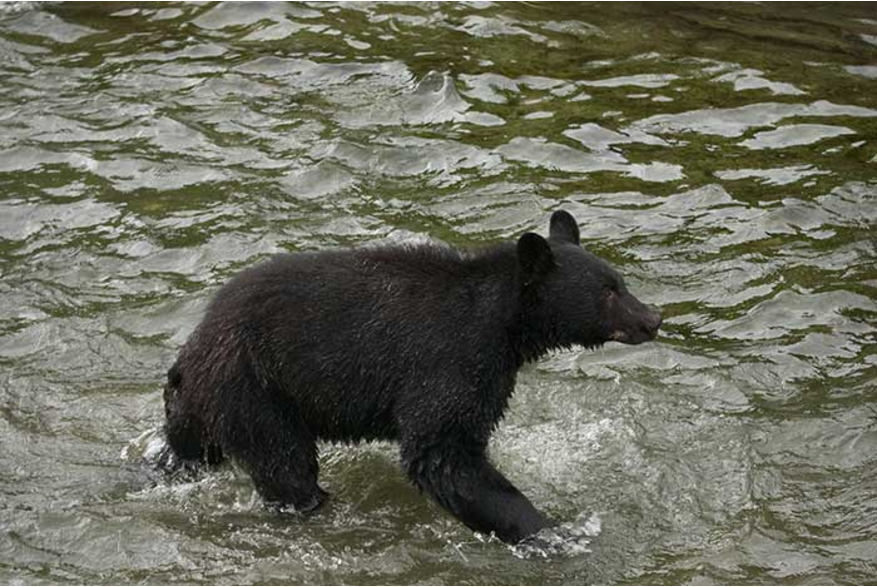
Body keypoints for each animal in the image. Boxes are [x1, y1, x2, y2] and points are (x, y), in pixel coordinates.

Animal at [162, 210, 661, 544]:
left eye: (620, 282)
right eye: (608, 292)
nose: (653, 318)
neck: (504, 323)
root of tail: (193, 347)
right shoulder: (449, 360)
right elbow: (444, 451)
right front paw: (551, 530)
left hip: (204, 407)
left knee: (189, 449)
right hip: (255, 389)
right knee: (285, 464)